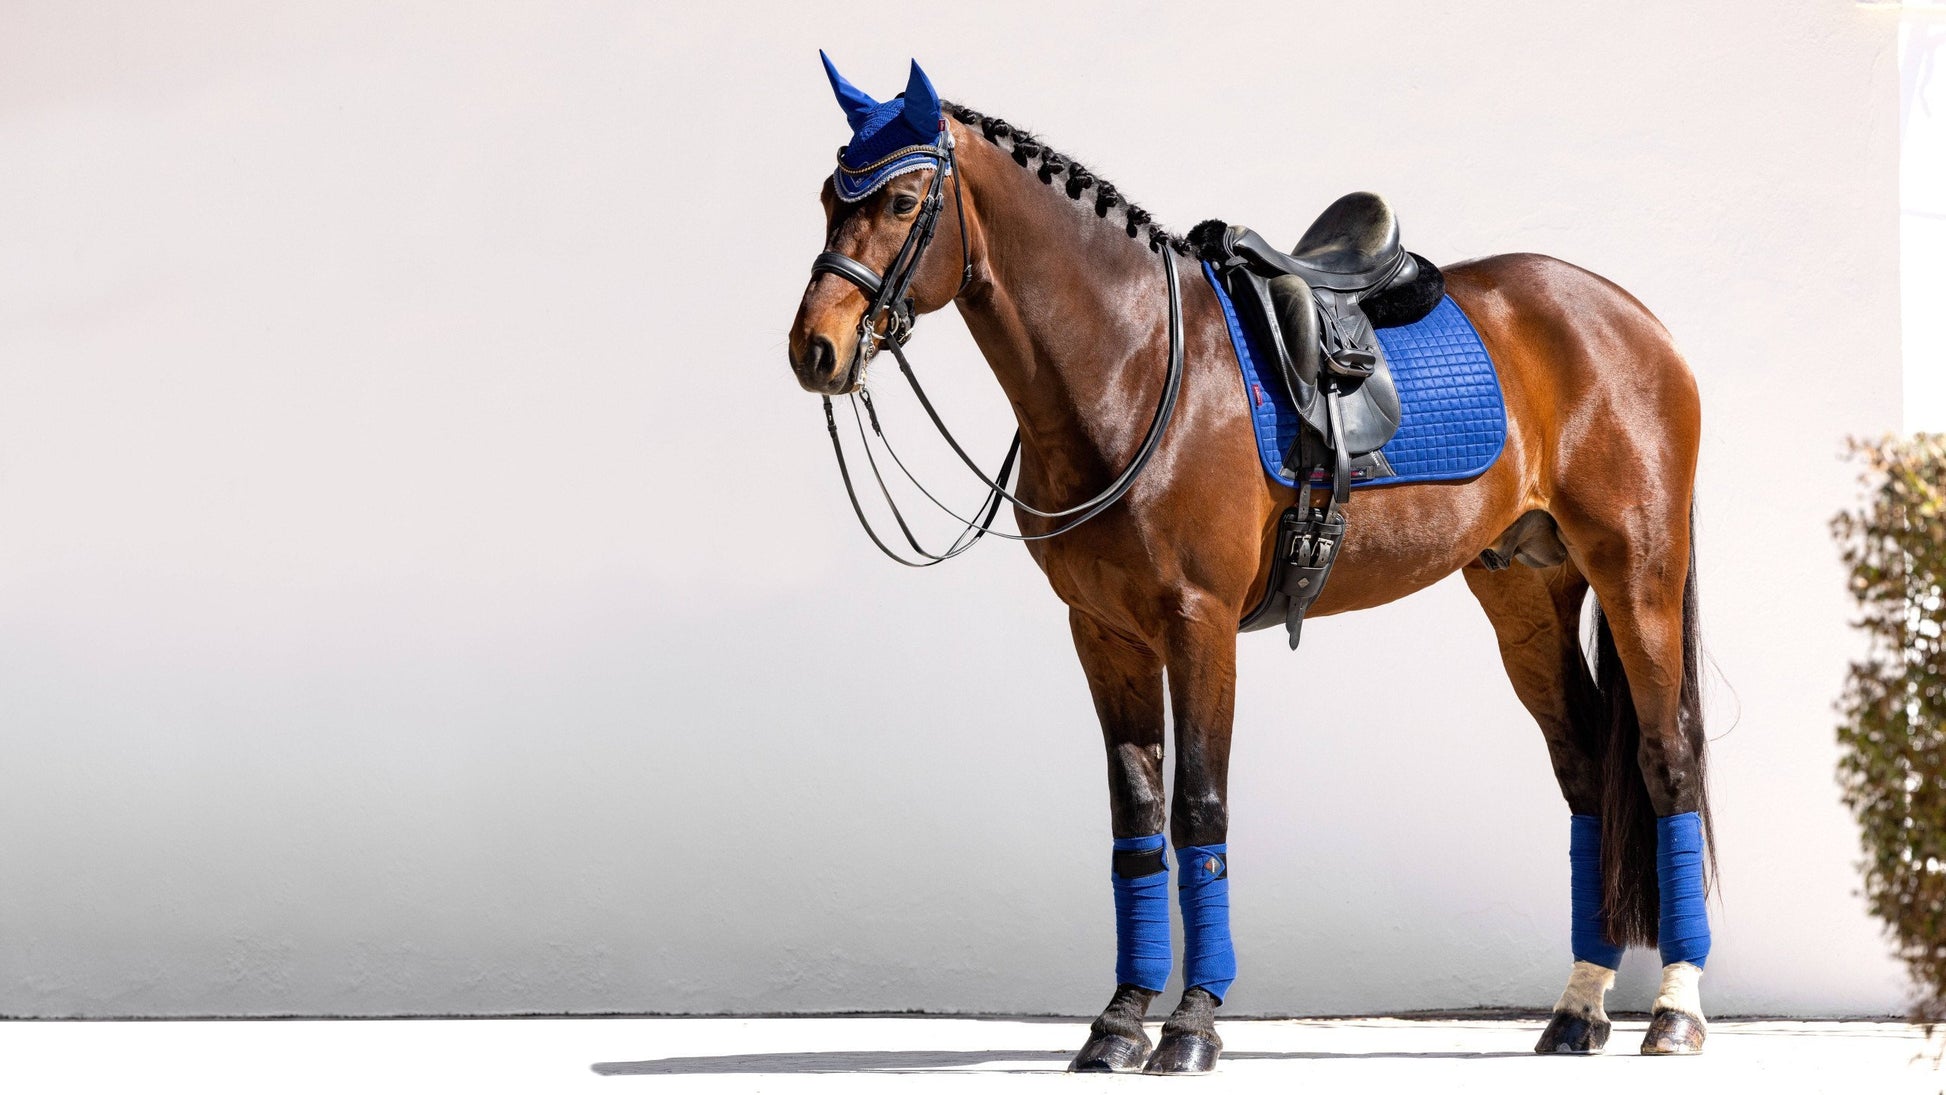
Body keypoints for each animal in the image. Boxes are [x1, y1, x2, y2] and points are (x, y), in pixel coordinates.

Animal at [787, 58, 1713, 1073]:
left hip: (1638, 574)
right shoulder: (1104, 634)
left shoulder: (1200, 625)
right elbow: (1136, 819)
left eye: (903, 198)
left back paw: (1674, 1010)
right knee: (1585, 768)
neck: (1134, 361)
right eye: (829, 195)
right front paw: (1119, 1020)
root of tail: (1637, 321)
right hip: (1526, 590)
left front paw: (1192, 1022)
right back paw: (1579, 1009)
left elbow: (1200, 810)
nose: (815, 349)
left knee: (1667, 761)